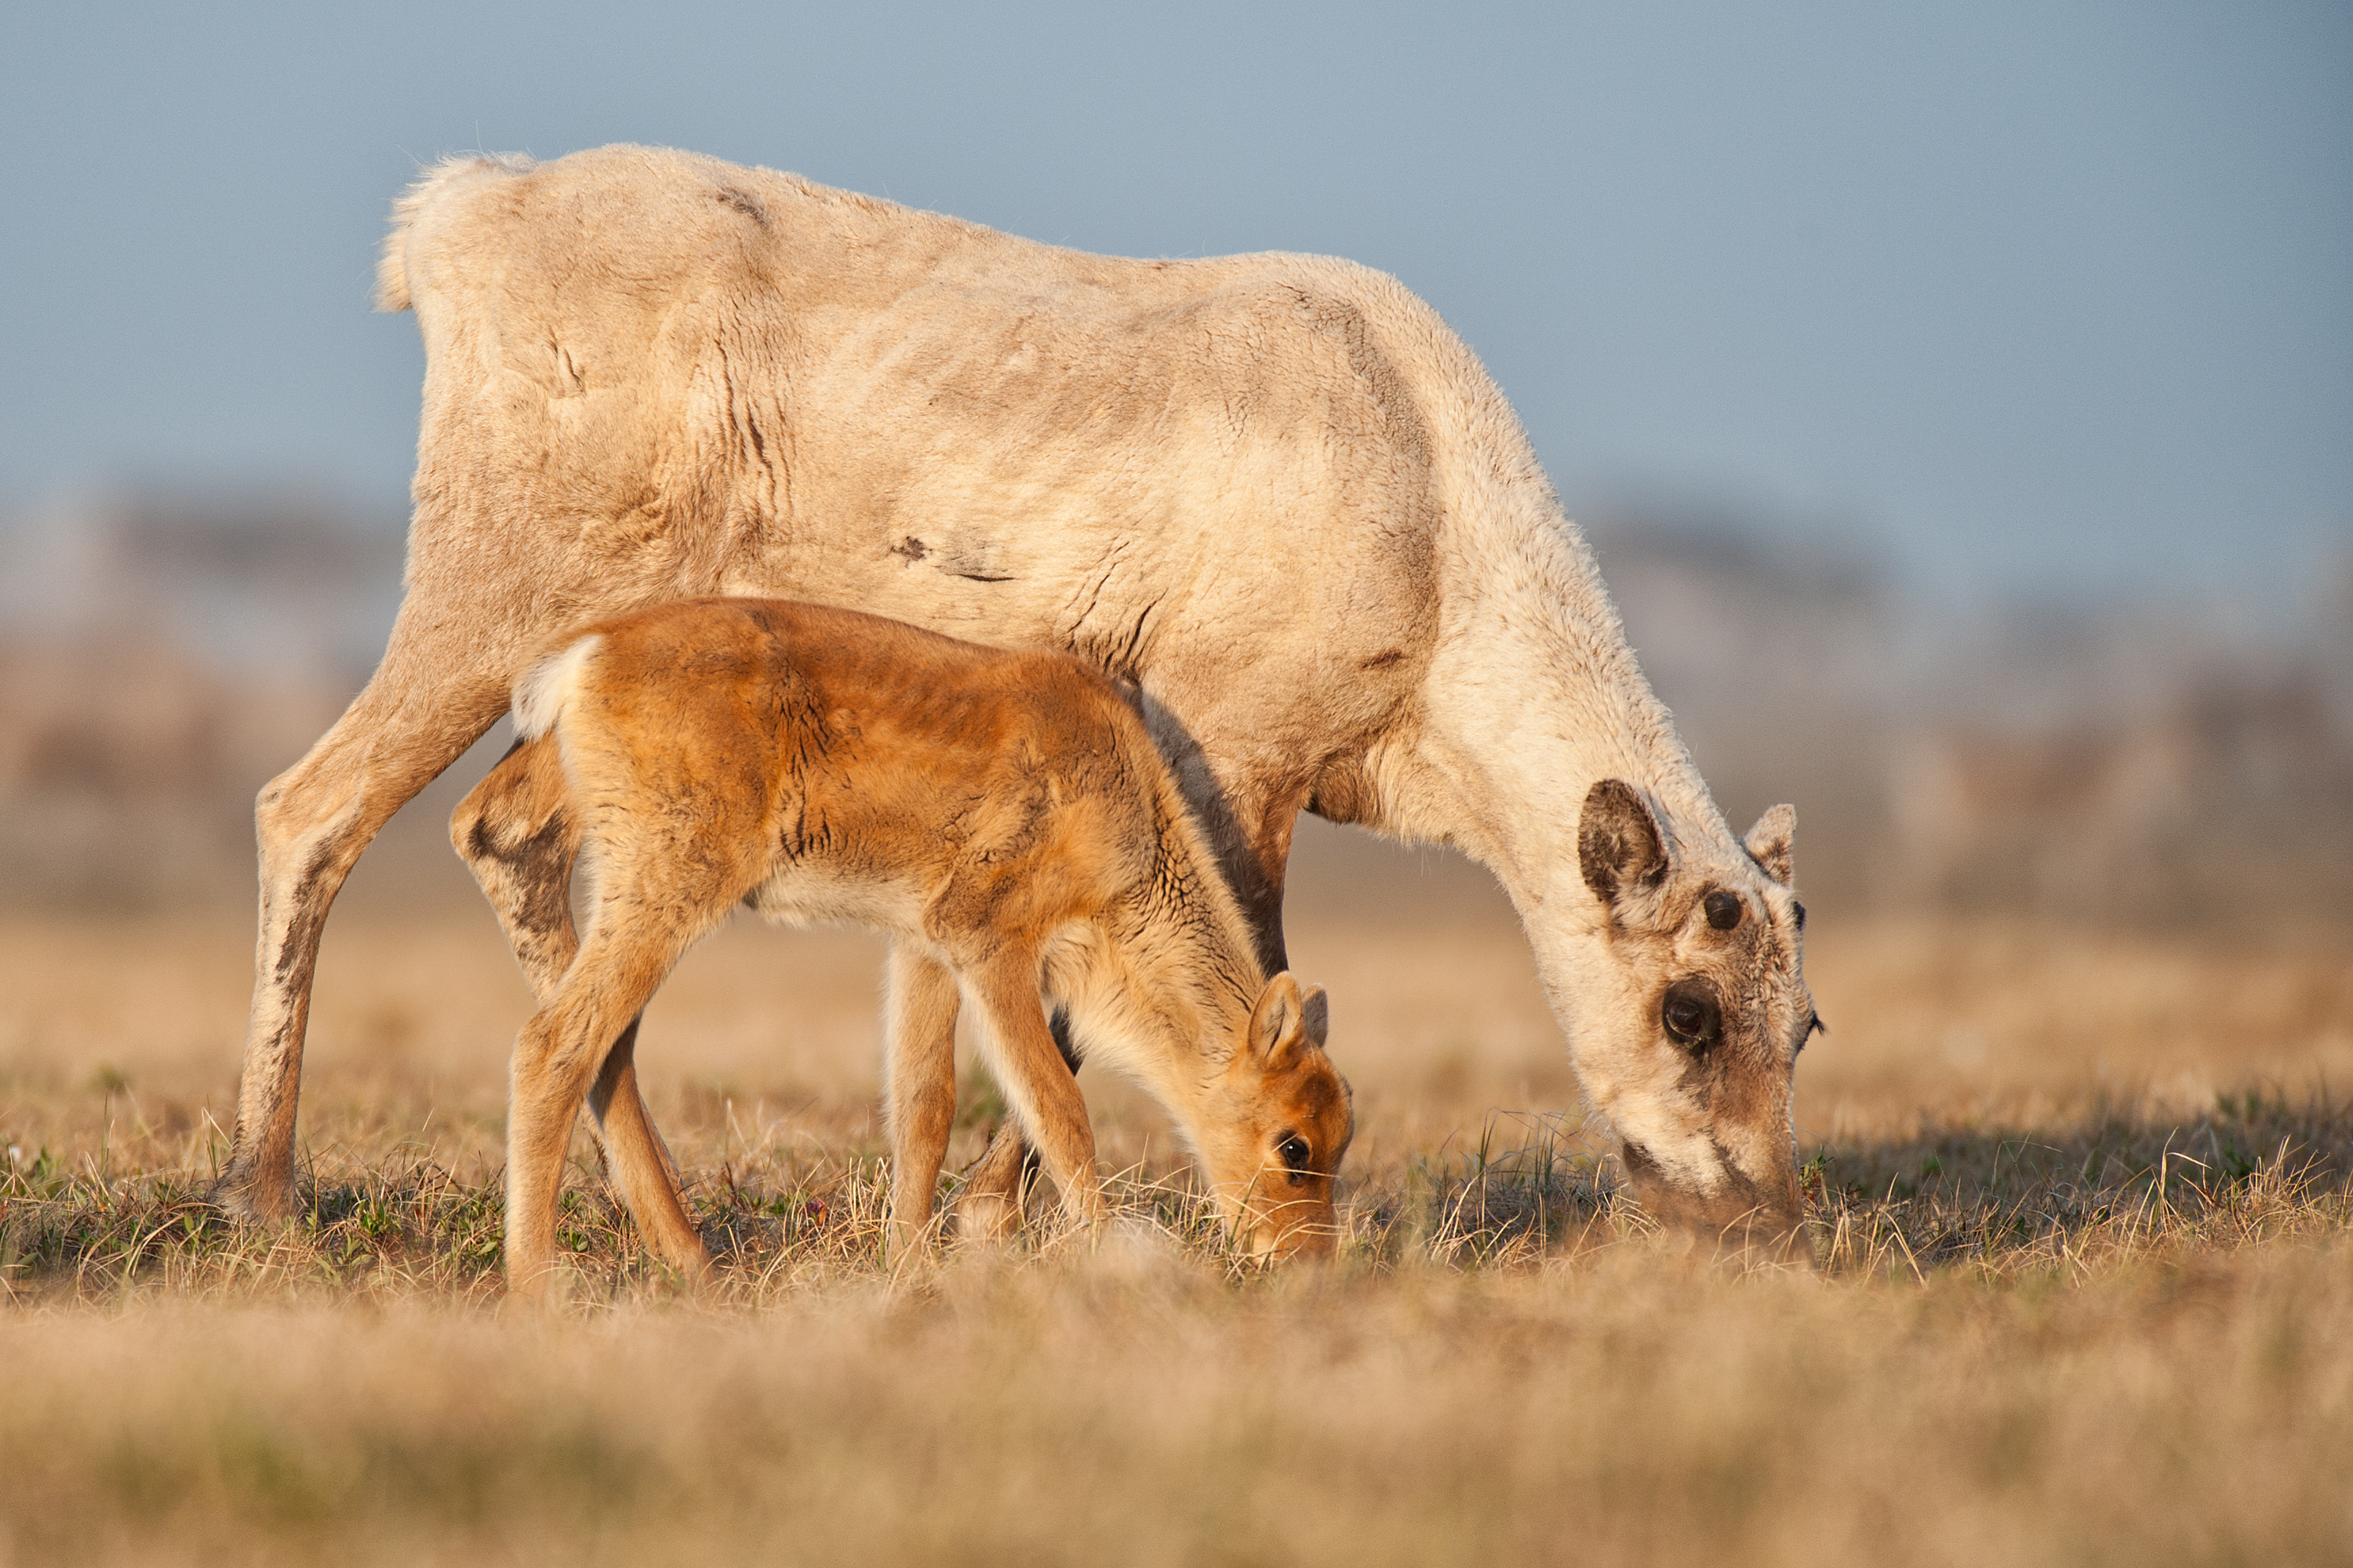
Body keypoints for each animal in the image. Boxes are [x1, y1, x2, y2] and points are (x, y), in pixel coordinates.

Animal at [224, 144, 1817, 1242]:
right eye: (1689, 1008)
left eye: (1803, 1024)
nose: (1756, 1213)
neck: (1440, 583)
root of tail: (450, 218)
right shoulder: (1235, 741)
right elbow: (1169, 975)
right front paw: (1009, 1219)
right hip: (501, 576)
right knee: (310, 804)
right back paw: (264, 1190)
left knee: (508, 847)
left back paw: (667, 1228)